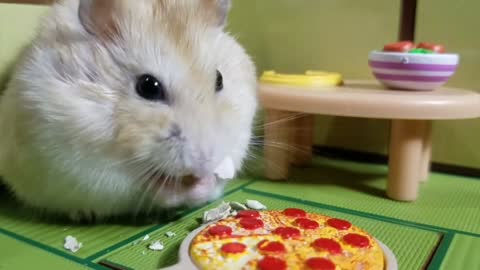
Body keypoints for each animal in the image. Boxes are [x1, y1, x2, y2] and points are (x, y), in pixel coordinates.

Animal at [0, 0, 258, 219]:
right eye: (148, 86)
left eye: (219, 79)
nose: (203, 163)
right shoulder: (81, 163)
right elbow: (143, 184)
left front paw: (203, 183)